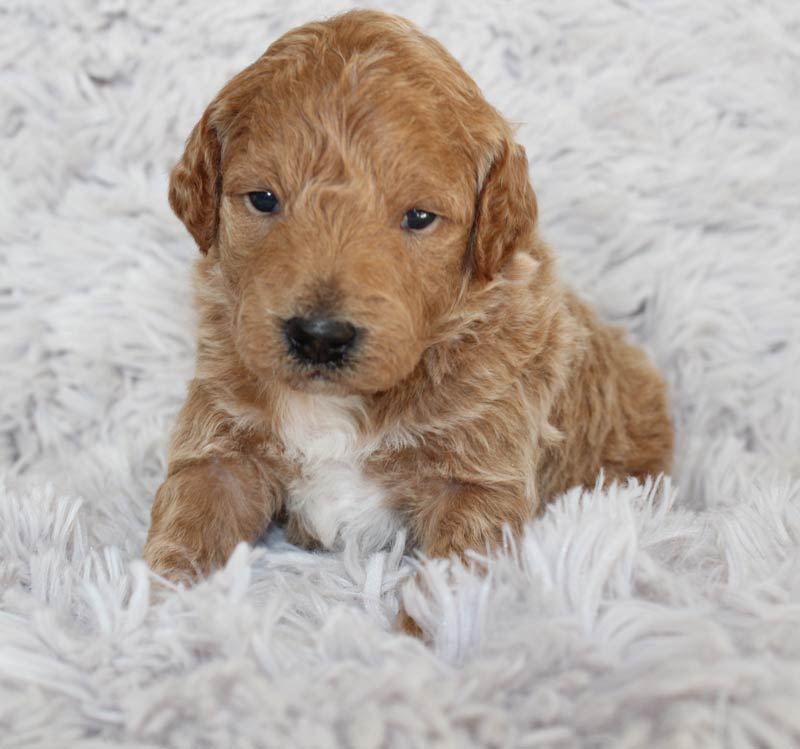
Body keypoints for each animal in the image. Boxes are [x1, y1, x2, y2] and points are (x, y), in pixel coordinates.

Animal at [142, 10, 668, 620]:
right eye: (264, 199)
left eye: (419, 217)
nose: (319, 337)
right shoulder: (219, 451)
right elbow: (186, 534)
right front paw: (153, 619)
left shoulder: (477, 483)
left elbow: (450, 587)